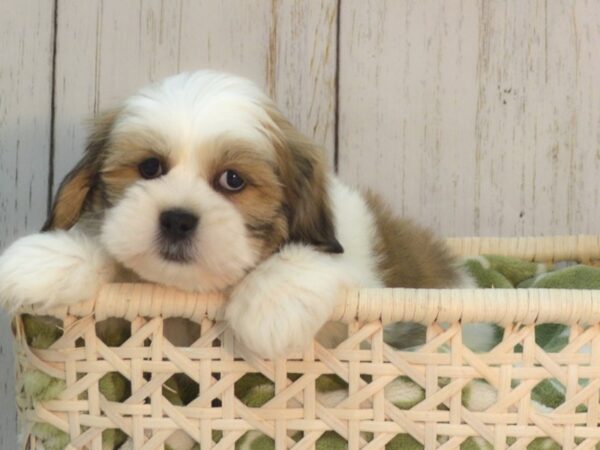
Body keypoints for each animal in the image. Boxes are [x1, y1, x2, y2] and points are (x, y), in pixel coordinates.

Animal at [0, 70, 468, 358]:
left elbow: (319, 261)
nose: (177, 219)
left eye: (233, 180)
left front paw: (270, 304)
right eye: (150, 167)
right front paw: (45, 260)